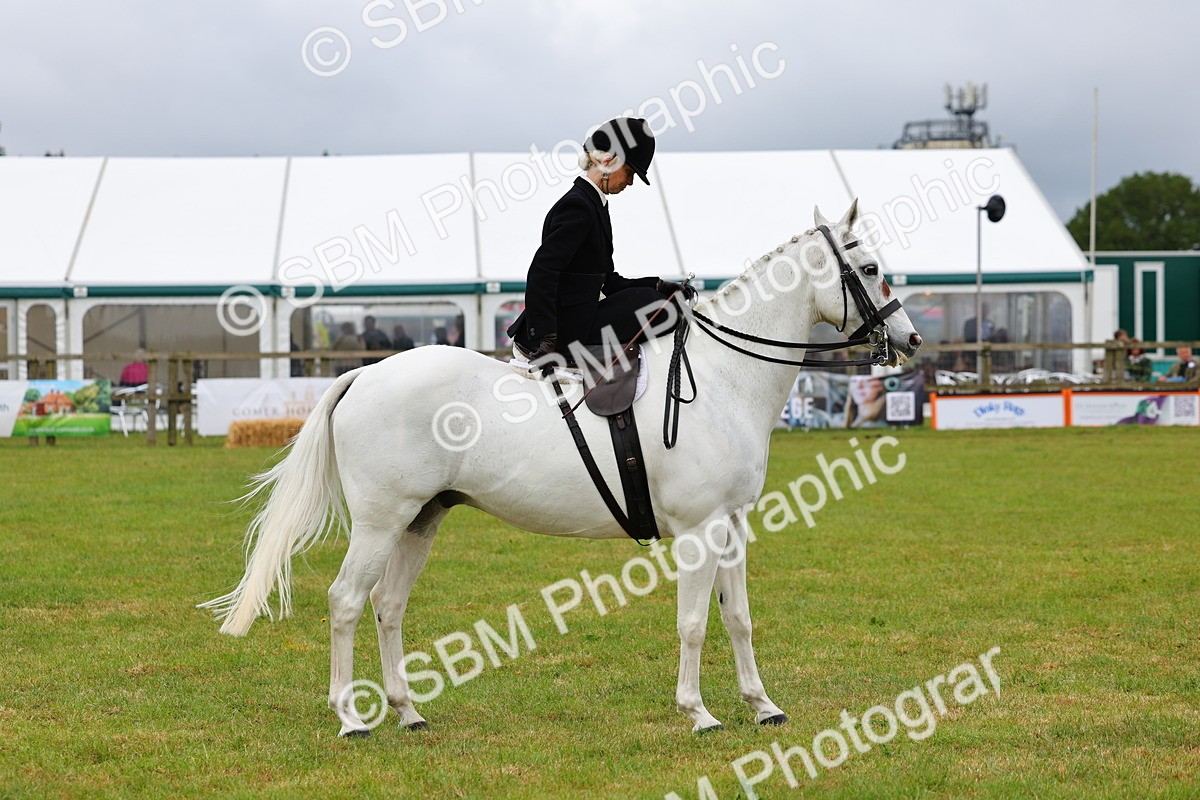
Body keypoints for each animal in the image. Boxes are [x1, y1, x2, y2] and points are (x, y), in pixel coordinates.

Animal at [200, 200, 922, 736]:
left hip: (420, 521)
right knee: (348, 602)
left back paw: (408, 711)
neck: (722, 376)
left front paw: (762, 705)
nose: (910, 340)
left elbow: (738, 618)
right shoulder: (697, 531)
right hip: (382, 521)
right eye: (869, 267)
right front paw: (699, 713)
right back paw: (351, 718)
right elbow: (693, 623)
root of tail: (367, 375)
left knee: (388, 605)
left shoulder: (733, 525)